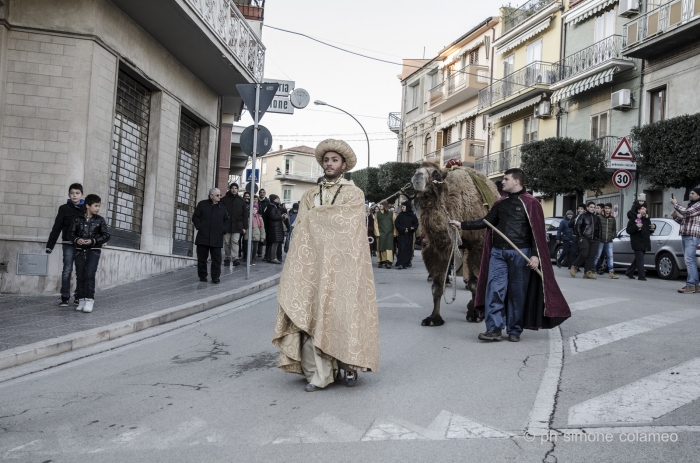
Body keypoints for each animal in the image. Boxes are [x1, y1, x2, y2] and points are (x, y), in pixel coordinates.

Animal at [410, 162, 498, 326]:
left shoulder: (478, 245)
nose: (417, 176)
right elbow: (437, 285)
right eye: (415, 169)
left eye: (436, 174)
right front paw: (434, 318)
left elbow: (475, 283)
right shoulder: (437, 248)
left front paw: (475, 314)